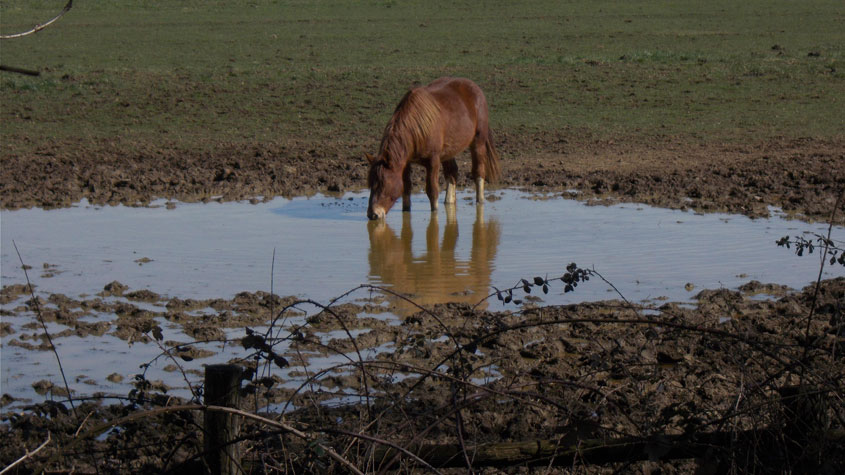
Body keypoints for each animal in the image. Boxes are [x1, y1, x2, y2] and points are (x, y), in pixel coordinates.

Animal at [364, 77, 498, 220]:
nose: (373, 214)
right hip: (449, 151)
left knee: (479, 172)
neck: (416, 129)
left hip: (478, 142)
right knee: (452, 172)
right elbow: (406, 187)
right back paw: (449, 202)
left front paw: (434, 213)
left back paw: (480, 200)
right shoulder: (405, 163)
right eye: (370, 184)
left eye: (382, 184)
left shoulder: (433, 161)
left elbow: (432, 190)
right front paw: (406, 210)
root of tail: (475, 88)